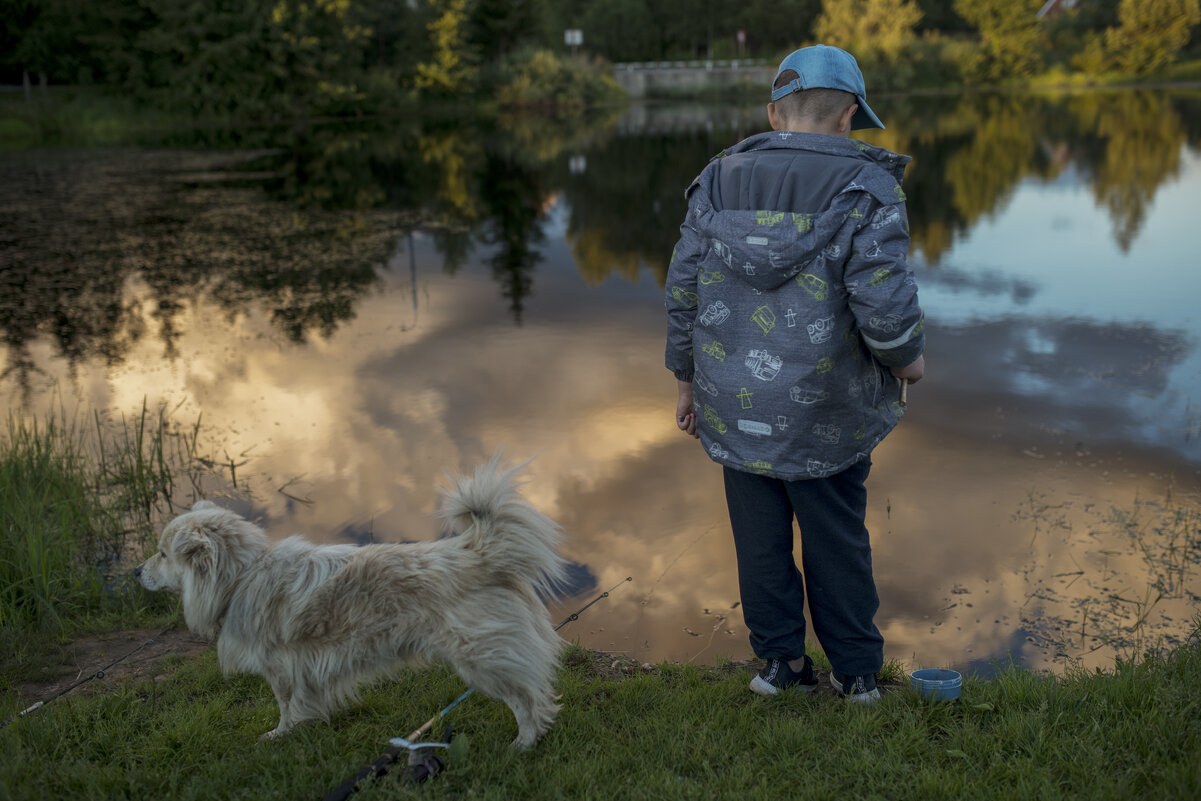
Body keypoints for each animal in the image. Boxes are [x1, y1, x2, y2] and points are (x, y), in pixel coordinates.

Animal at [138, 461, 569, 749]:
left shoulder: (280, 667)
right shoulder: (302, 667)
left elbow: (286, 705)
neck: (242, 574)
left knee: (528, 699)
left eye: (161, 554)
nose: (135, 571)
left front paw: (280, 735)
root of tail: (478, 552)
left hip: (482, 658)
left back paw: (523, 744)